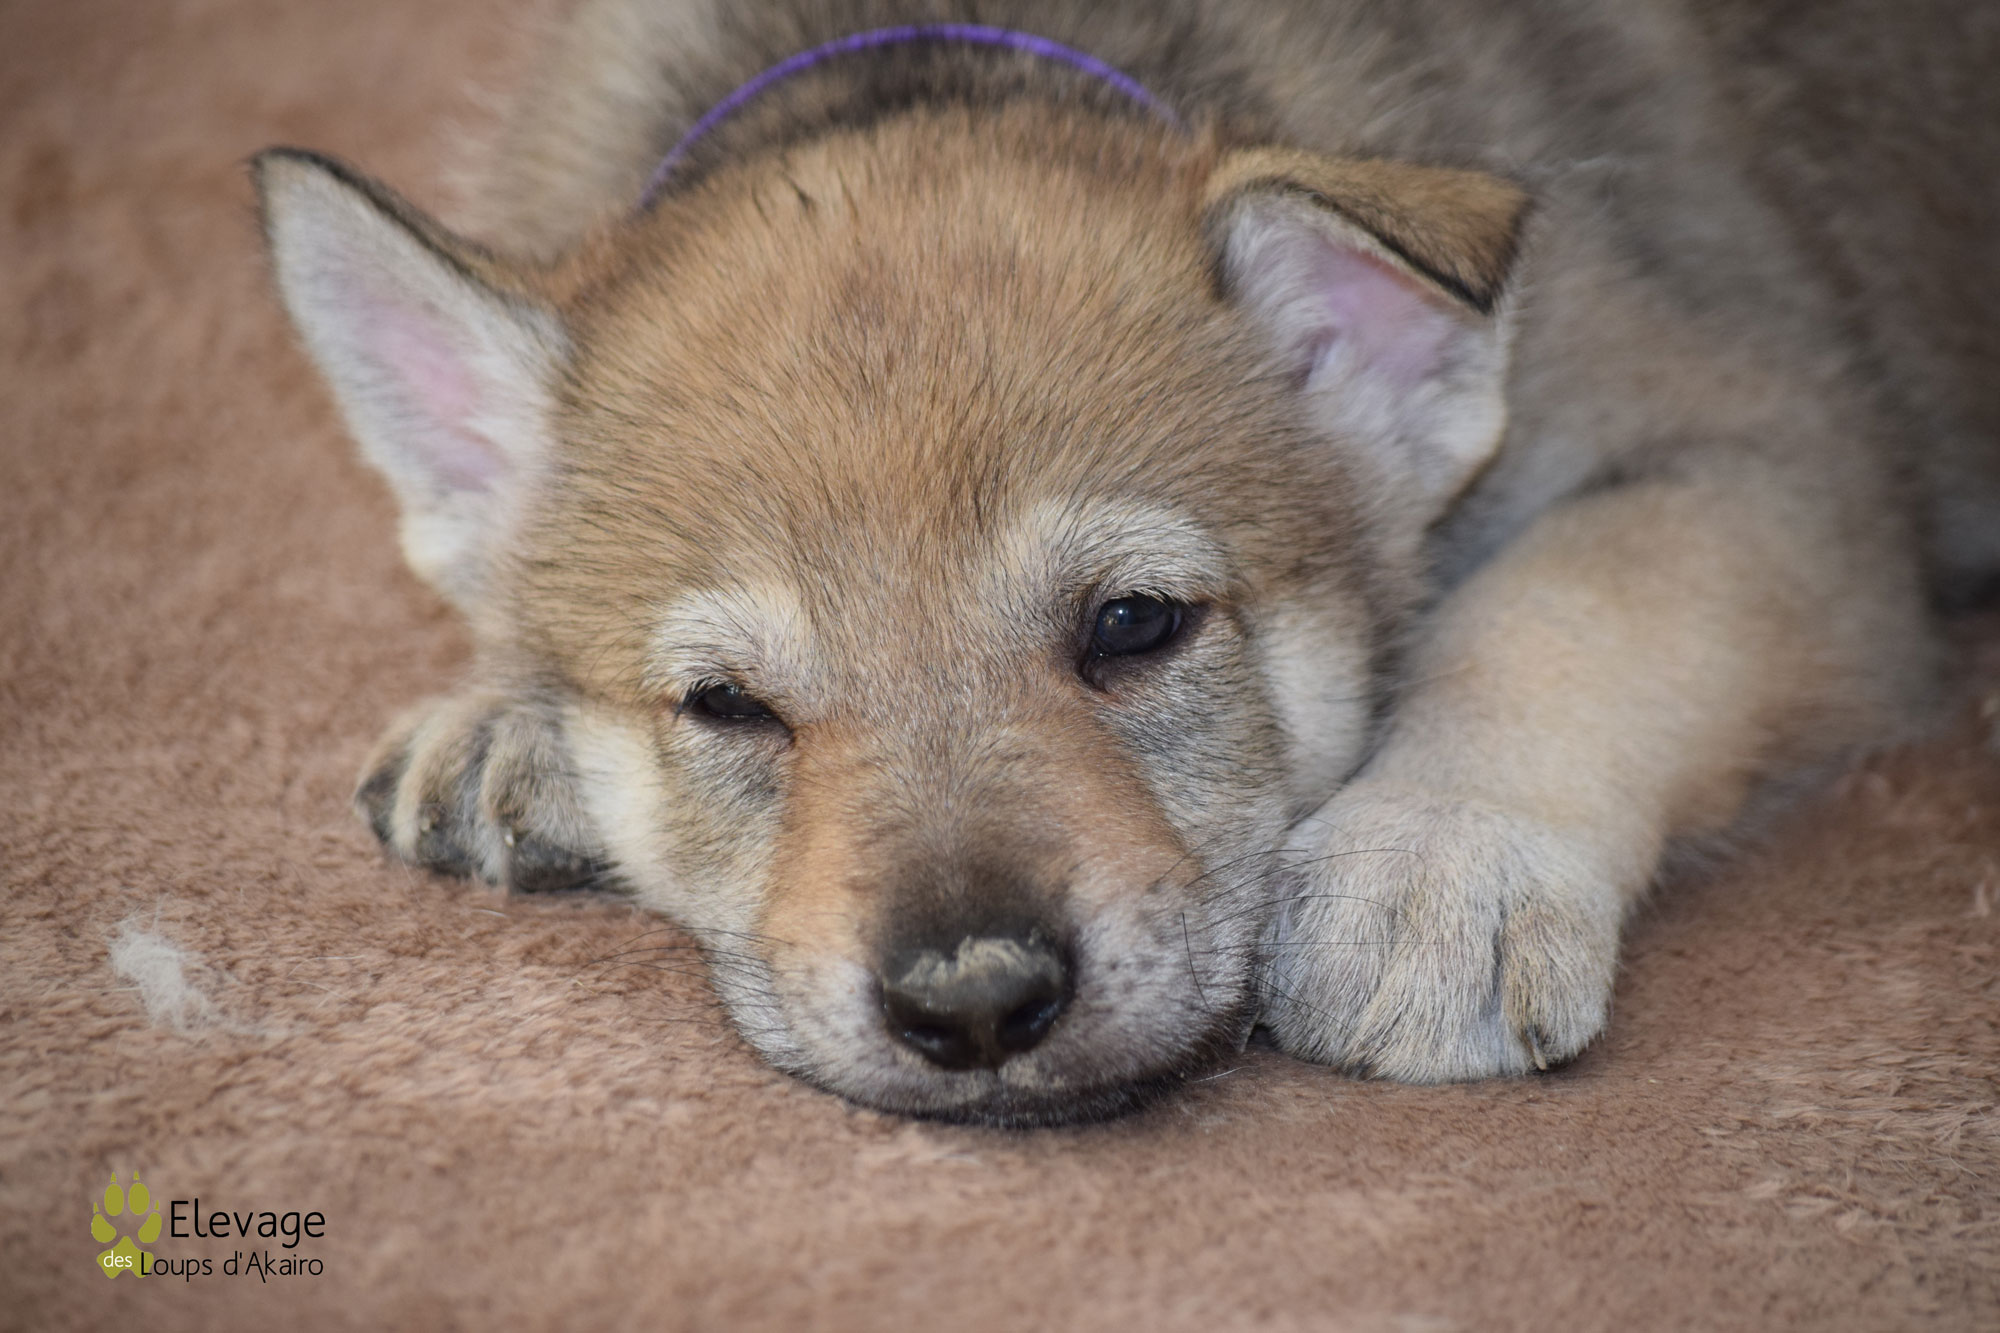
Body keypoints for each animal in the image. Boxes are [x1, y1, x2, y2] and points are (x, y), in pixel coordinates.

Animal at [254, 0, 2000, 1124]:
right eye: (729, 707)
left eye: (1136, 625)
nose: (973, 1004)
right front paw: (502, 718)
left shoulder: (1768, 458)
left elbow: (1571, 607)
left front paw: (1439, 857)